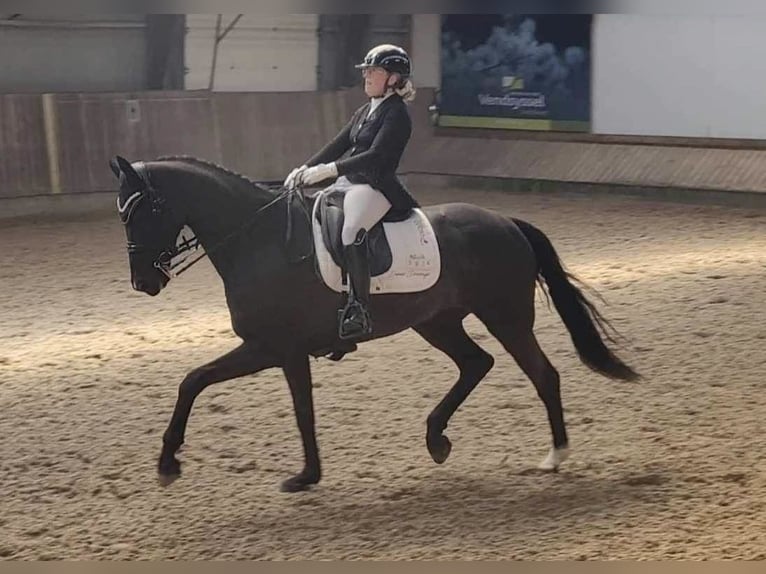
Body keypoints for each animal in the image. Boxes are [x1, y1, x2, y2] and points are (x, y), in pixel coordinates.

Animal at [111, 155, 640, 492]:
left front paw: (305, 476)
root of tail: (507, 222)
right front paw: (168, 463)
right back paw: (436, 438)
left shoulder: (278, 348)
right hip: (438, 321)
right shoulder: (271, 349)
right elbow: (195, 381)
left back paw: (555, 455)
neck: (258, 241)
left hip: (505, 317)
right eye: (123, 214)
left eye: (145, 210)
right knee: (476, 363)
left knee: (542, 374)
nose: (142, 282)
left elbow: (292, 407)